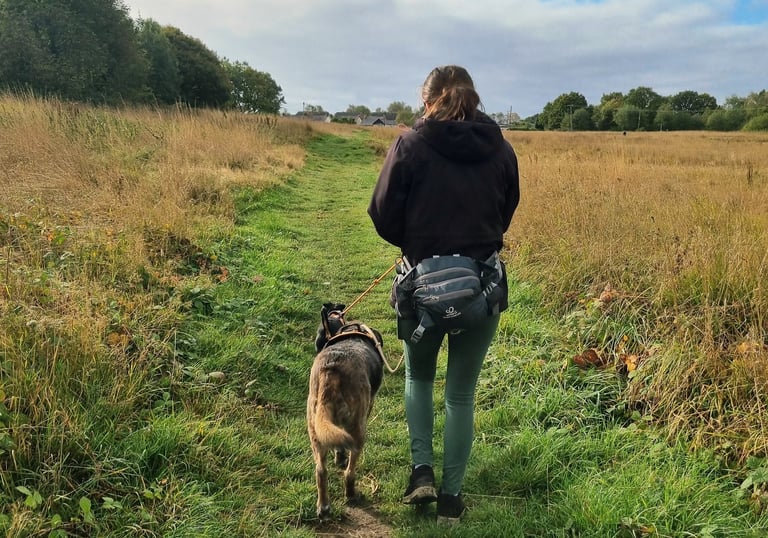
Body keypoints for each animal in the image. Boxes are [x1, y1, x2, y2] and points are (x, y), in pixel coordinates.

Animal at [307, 302, 385, 520]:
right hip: (357, 429)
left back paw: (323, 506)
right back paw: (351, 495)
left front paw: (338, 456)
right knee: (350, 472)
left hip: (315, 427)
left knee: (320, 470)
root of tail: (331, 369)